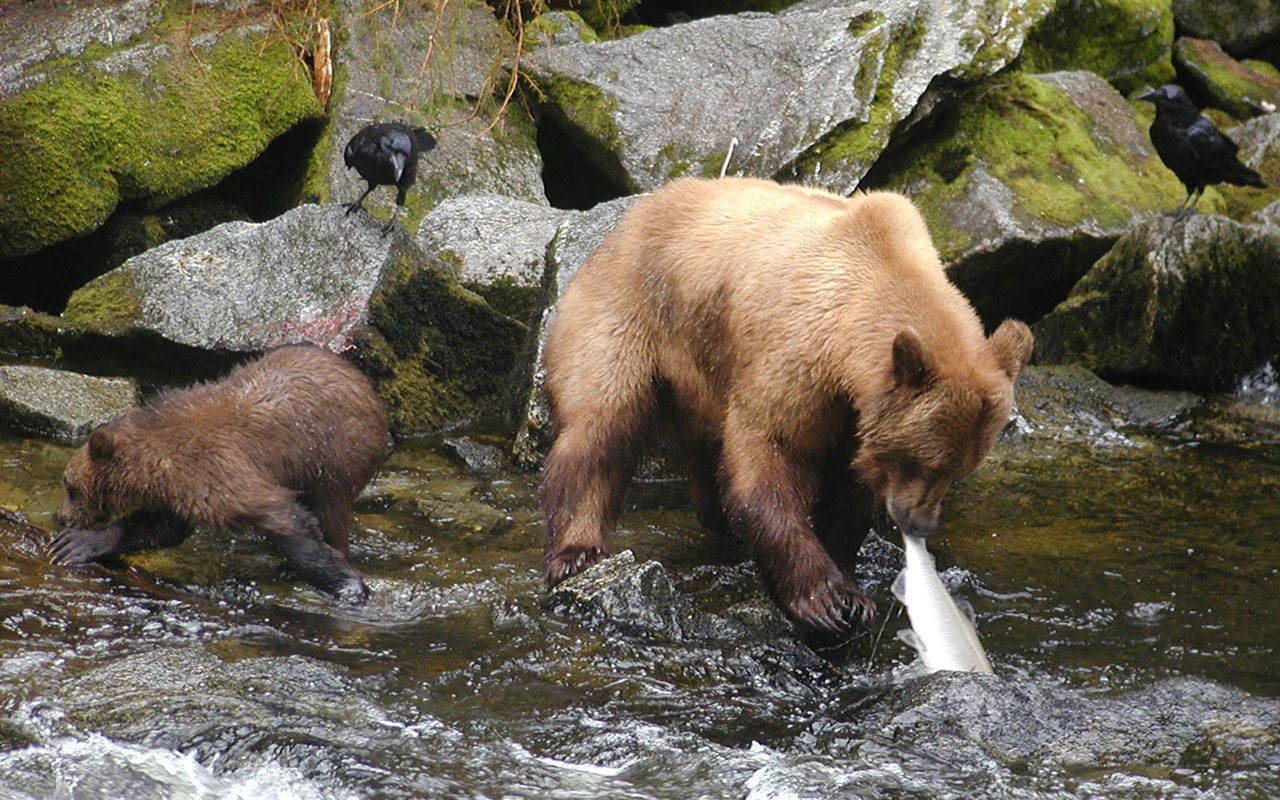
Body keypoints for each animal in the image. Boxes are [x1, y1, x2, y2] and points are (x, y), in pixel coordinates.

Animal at [49, 345, 386, 601]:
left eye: (69, 486)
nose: (59, 516)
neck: (154, 462)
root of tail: (361, 379)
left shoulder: (215, 472)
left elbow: (281, 517)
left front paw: (348, 586)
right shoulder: (178, 491)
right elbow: (157, 529)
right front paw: (75, 543)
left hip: (336, 456)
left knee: (332, 508)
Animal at [537, 176, 1029, 629]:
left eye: (957, 470)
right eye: (919, 461)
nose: (920, 524)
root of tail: (627, 218)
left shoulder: (852, 412)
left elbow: (846, 494)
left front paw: (853, 592)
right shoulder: (798, 357)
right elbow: (769, 455)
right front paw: (824, 599)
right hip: (626, 315)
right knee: (600, 427)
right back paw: (577, 550)